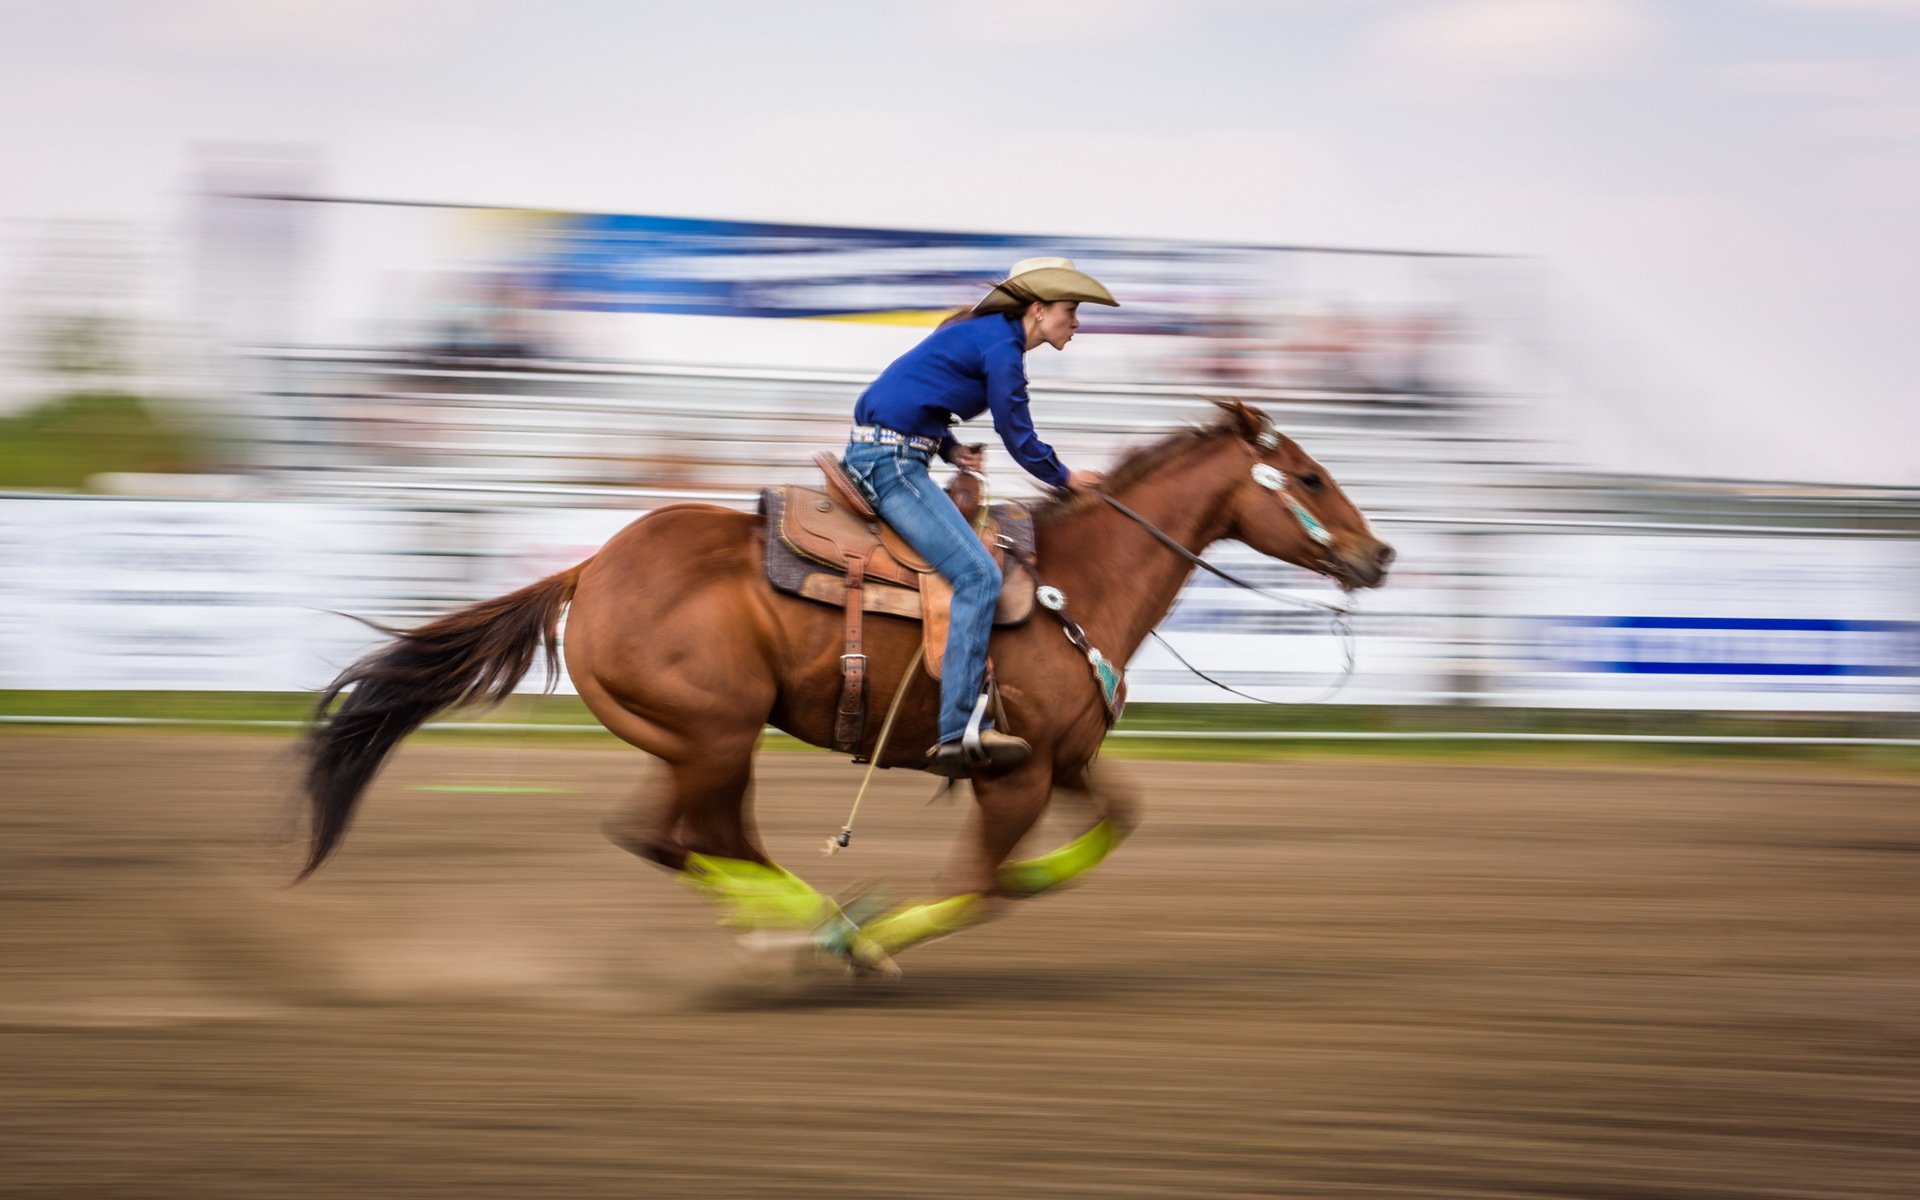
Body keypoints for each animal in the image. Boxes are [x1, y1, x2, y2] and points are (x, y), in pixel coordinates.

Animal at [295, 397, 1397, 979]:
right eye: (1307, 476)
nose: (1377, 554)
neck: (1076, 582)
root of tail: (589, 569)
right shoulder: (1014, 774)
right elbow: (978, 887)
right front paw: (885, 938)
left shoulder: (1066, 760)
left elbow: (1112, 824)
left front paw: (1011, 888)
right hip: (714, 735)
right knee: (692, 837)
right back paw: (830, 931)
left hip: (696, 743)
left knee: (679, 836)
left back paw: (801, 924)